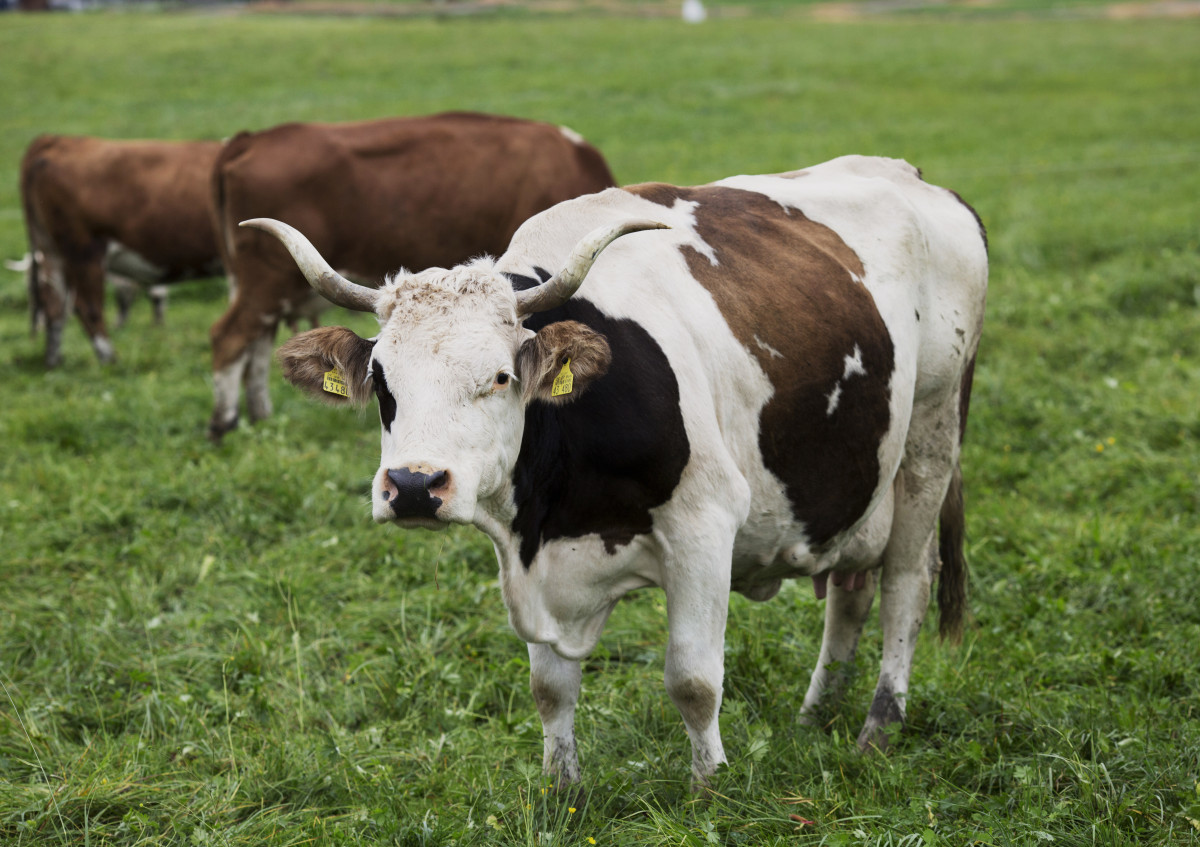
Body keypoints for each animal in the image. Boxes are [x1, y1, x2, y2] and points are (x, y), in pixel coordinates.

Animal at [18, 133, 224, 364]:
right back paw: (109, 359)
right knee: (87, 306)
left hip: (52, 251)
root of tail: (56, 139)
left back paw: (54, 361)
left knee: (55, 305)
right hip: (84, 250)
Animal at [206, 111, 614, 439]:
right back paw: (223, 425)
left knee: (257, 345)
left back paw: (260, 417)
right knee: (229, 338)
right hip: (265, 280)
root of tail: (250, 139)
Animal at [248, 154, 988, 782]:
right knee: (850, 590)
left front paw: (711, 785)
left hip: (930, 439)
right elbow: (550, 689)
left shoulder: (704, 527)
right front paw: (561, 789)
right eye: (381, 380)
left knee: (905, 584)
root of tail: (918, 180)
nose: (412, 486)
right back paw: (816, 713)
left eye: (498, 376)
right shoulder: (531, 554)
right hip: (856, 478)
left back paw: (877, 727)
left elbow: (693, 679)